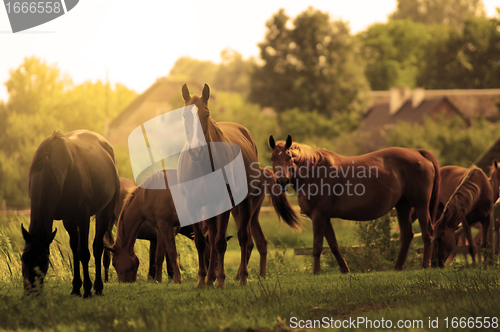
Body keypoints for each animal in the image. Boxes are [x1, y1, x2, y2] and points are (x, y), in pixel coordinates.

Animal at [22, 130, 119, 298]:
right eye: (23, 258)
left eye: (44, 260)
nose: (30, 292)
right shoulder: (68, 218)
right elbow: (74, 249)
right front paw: (76, 288)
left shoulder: (83, 216)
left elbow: (84, 252)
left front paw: (87, 289)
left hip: (105, 210)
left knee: (98, 247)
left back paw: (98, 287)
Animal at [178, 83, 298, 288]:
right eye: (185, 115)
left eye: (206, 114)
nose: (197, 151)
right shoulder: (192, 205)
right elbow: (202, 243)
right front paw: (202, 281)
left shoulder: (225, 203)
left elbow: (220, 242)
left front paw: (221, 281)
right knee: (215, 237)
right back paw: (210, 279)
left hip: (244, 205)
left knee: (245, 239)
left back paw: (242, 277)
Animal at [268, 135, 440, 272]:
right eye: (272, 158)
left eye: (289, 157)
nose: (282, 181)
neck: (314, 171)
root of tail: (418, 152)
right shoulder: (325, 218)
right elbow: (334, 245)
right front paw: (345, 270)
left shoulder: (318, 216)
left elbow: (317, 247)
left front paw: (316, 273)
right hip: (403, 206)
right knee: (407, 235)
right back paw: (398, 267)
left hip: (421, 205)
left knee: (427, 233)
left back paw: (425, 265)